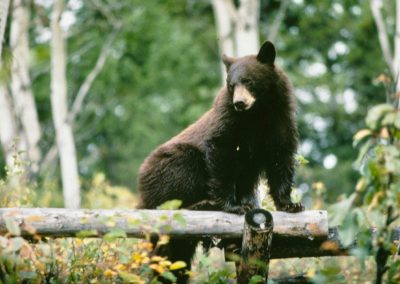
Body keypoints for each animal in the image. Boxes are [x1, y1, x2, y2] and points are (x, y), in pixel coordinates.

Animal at [138, 40, 304, 282]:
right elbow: (221, 150)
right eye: (232, 85)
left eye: (249, 81)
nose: (240, 103)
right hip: (170, 165)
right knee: (180, 178)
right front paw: (234, 205)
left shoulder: (280, 120)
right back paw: (202, 203)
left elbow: (280, 159)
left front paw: (291, 204)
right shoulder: (228, 119)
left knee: (176, 255)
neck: (258, 113)